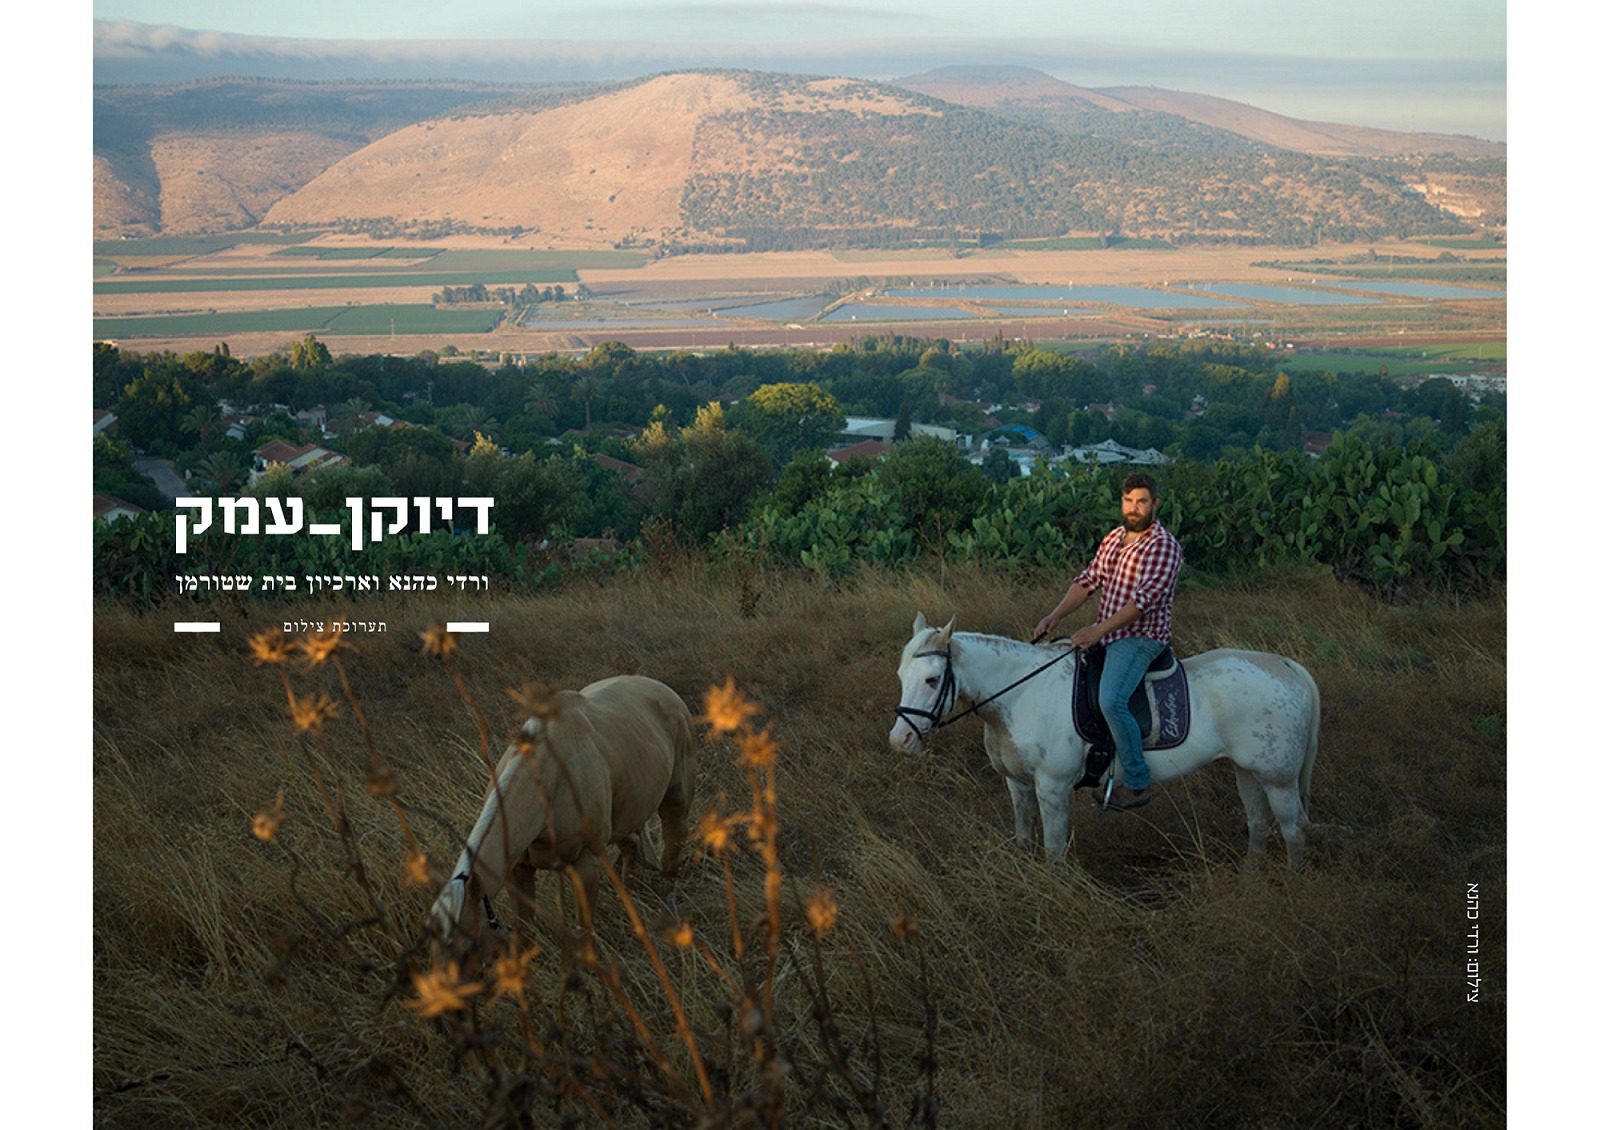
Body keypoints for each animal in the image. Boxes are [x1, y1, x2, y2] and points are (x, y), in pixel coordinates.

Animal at [428, 672, 697, 934]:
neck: (549, 775)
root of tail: (665, 691)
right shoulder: (520, 870)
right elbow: (524, 931)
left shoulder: (586, 866)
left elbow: (582, 934)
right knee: (632, 844)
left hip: (675, 801)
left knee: (672, 850)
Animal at [889, 614, 1324, 864]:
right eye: (900, 675)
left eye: (932, 679)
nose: (900, 741)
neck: (1022, 693)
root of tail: (1290, 667)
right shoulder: (1017, 783)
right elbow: (1024, 838)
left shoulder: (1053, 787)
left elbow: (1053, 852)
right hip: (1247, 771)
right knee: (1257, 822)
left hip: (1279, 779)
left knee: (1294, 830)